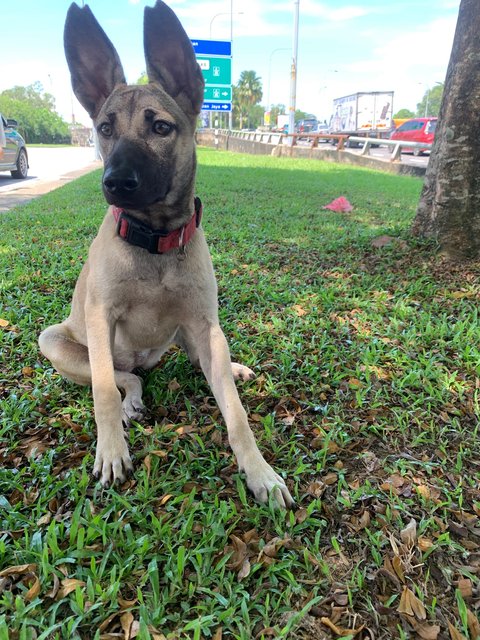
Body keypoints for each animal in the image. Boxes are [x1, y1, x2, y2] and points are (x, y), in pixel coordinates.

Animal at [38, 1, 292, 510]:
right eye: (104, 129)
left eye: (160, 127)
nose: (115, 183)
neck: (153, 240)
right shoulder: (100, 319)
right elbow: (103, 393)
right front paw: (111, 451)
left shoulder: (204, 323)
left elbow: (235, 412)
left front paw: (259, 472)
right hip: (55, 340)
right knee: (122, 378)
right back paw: (132, 397)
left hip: (195, 334)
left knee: (202, 364)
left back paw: (230, 369)